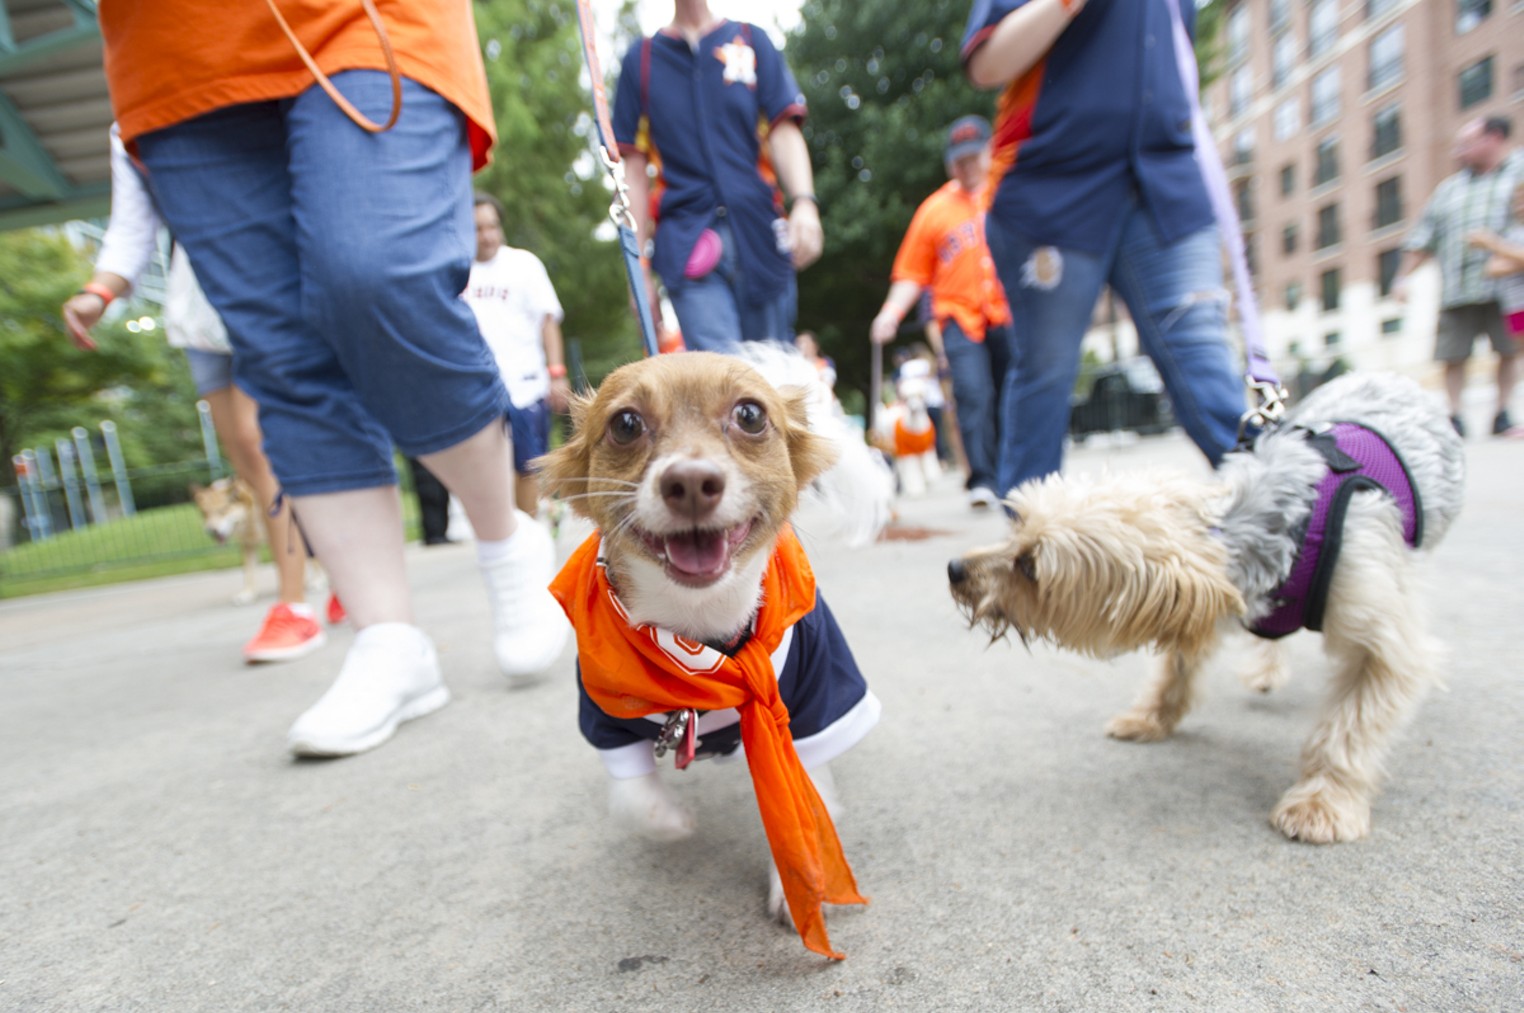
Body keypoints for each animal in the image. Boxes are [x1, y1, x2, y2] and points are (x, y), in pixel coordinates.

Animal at [542, 353, 890, 956]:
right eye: (626, 424)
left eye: (750, 415)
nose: (689, 481)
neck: (699, 635)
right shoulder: (604, 717)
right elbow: (637, 802)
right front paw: (677, 822)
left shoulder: (816, 699)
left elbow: (802, 800)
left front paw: (799, 884)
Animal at [950, 374, 1463, 840]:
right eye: (1016, 525)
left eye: (1030, 566)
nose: (954, 568)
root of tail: (1391, 378)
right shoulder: (1202, 615)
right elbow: (1174, 670)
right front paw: (1151, 717)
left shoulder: (1380, 641)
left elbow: (1348, 727)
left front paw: (1324, 800)